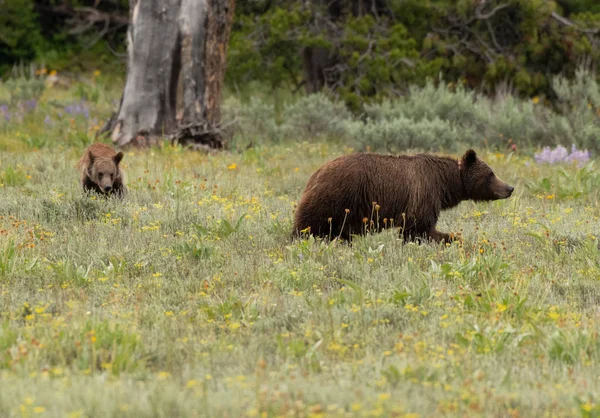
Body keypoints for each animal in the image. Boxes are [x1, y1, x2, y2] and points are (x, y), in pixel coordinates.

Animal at [292, 149, 512, 243]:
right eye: (491, 174)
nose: (509, 188)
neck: (445, 183)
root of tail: (316, 172)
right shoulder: (423, 194)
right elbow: (419, 229)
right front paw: (453, 238)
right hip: (335, 197)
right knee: (309, 223)